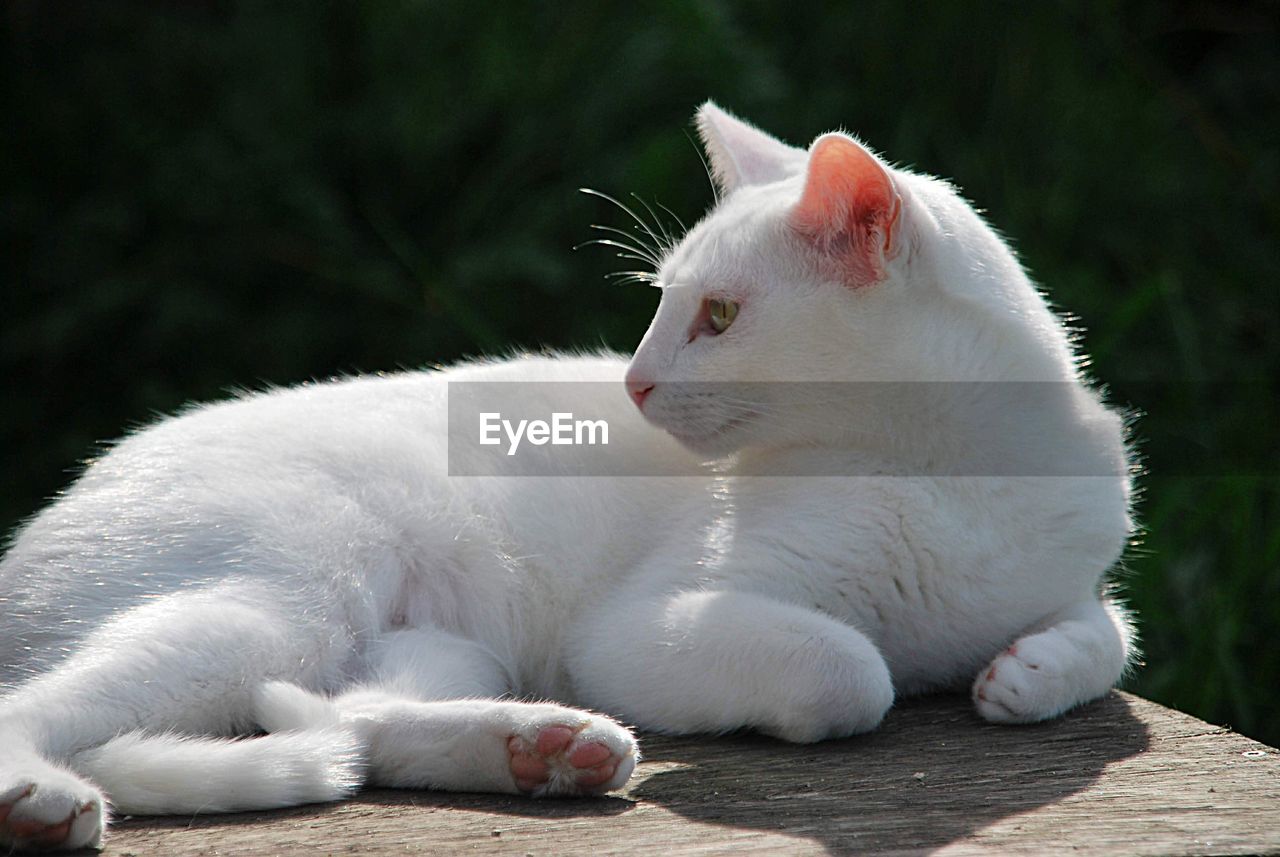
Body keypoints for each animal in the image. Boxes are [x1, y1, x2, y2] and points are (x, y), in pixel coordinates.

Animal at [0, 102, 1136, 854]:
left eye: (718, 315)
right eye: (662, 302)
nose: (633, 379)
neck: (950, 472)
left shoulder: (1076, 567)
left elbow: (1108, 630)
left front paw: (1028, 670)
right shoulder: (641, 626)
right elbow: (854, 670)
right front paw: (918, 669)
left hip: (440, 639)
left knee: (354, 715)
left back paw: (541, 748)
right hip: (280, 601)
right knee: (44, 705)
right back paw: (43, 803)